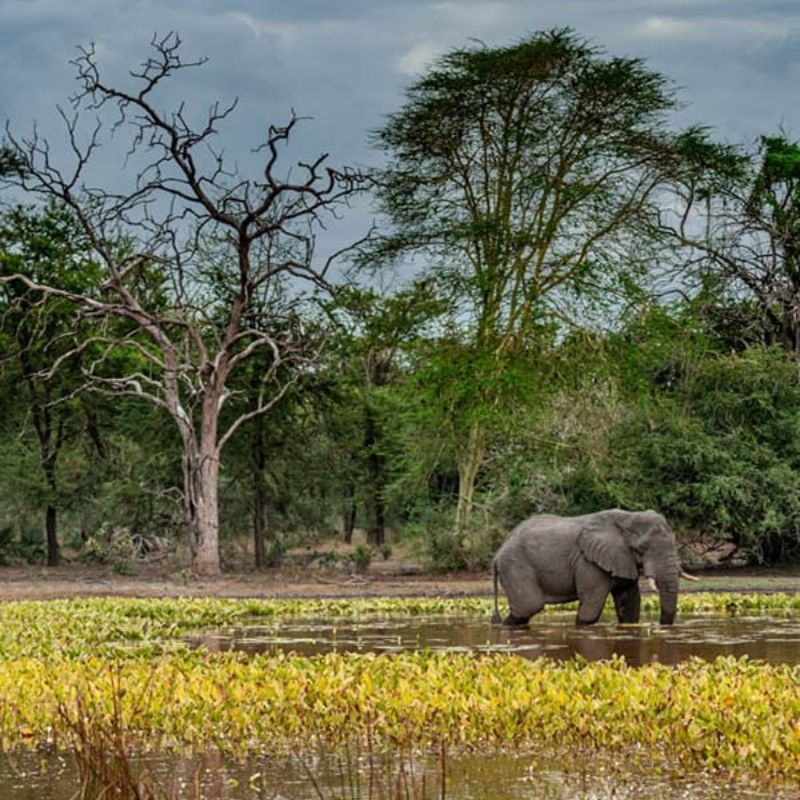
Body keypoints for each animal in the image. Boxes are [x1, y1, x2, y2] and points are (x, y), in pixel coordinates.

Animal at [491, 509, 697, 627]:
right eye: (640, 550)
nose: (656, 626)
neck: (627, 518)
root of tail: (498, 552)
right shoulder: (589, 562)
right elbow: (591, 606)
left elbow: (629, 603)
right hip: (515, 566)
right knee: (528, 606)